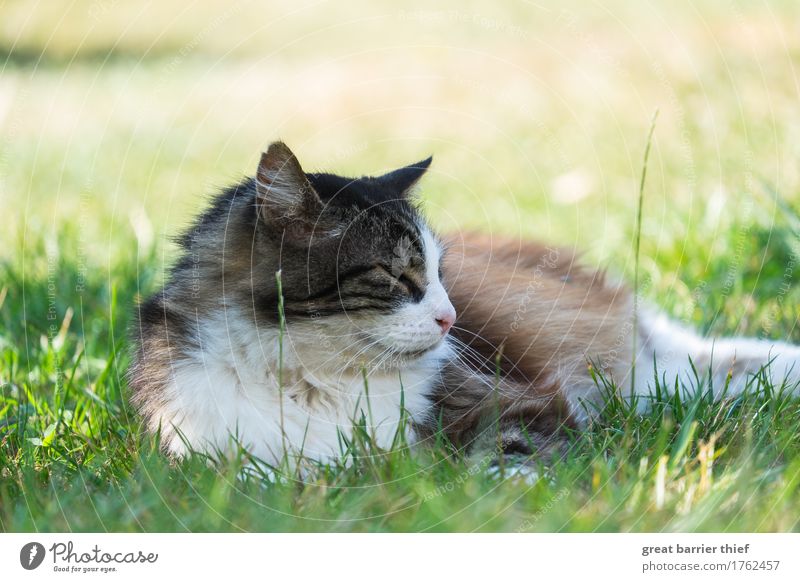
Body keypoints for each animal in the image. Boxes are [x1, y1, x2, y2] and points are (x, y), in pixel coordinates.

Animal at [128, 143, 800, 474]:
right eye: (397, 274)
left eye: (438, 275)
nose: (450, 319)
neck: (313, 382)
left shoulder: (524, 403)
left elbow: (499, 457)